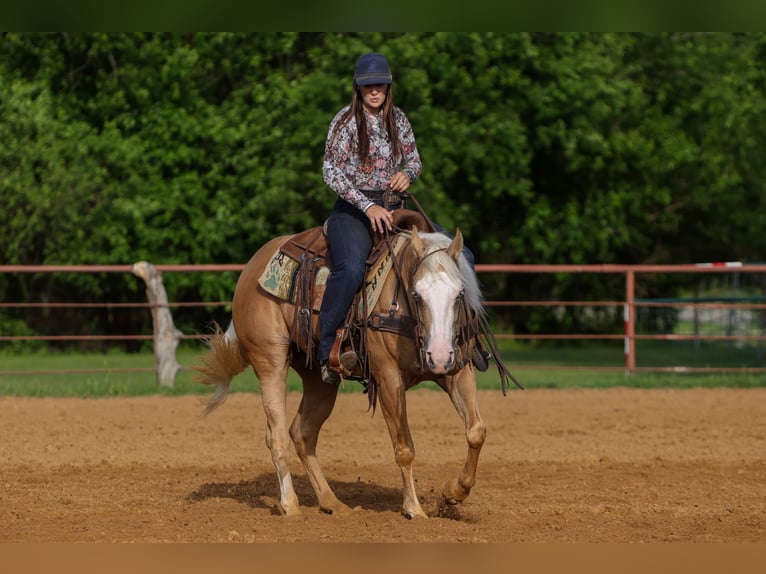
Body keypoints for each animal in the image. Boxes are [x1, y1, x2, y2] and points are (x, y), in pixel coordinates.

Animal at [193, 213, 517, 518]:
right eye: (416, 294)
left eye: (459, 293)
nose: (437, 357)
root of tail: (252, 267)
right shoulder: (388, 378)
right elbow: (404, 448)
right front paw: (414, 509)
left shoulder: (458, 369)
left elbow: (476, 431)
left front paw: (454, 492)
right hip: (270, 362)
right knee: (276, 435)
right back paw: (290, 506)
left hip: (319, 379)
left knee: (302, 433)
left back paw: (332, 503)